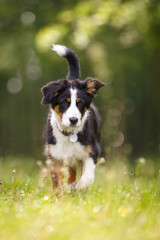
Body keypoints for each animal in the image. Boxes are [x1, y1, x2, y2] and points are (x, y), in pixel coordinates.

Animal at [41, 45, 105, 191]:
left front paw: (80, 188)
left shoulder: (92, 151)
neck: (69, 134)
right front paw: (62, 194)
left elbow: (87, 177)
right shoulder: (55, 156)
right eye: (65, 102)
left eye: (80, 103)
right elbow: (57, 183)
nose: (74, 120)